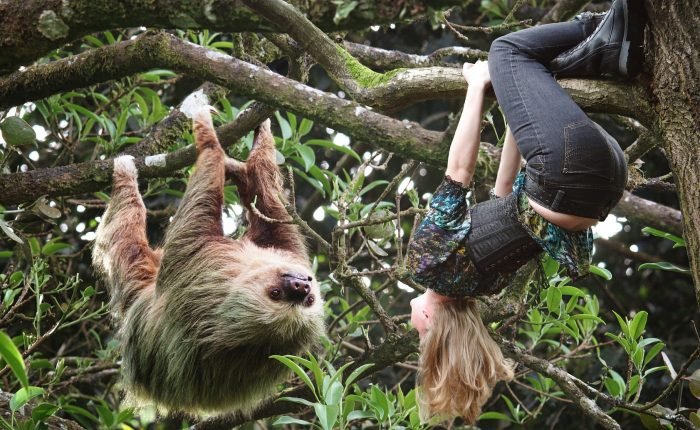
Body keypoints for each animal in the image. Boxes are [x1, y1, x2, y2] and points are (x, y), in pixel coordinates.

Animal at [92, 108, 326, 415]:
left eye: (277, 295)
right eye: (305, 298)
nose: (301, 286)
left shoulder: (203, 269)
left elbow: (196, 213)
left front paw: (206, 131)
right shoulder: (294, 255)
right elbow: (274, 213)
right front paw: (259, 138)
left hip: (138, 289)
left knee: (125, 235)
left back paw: (125, 173)